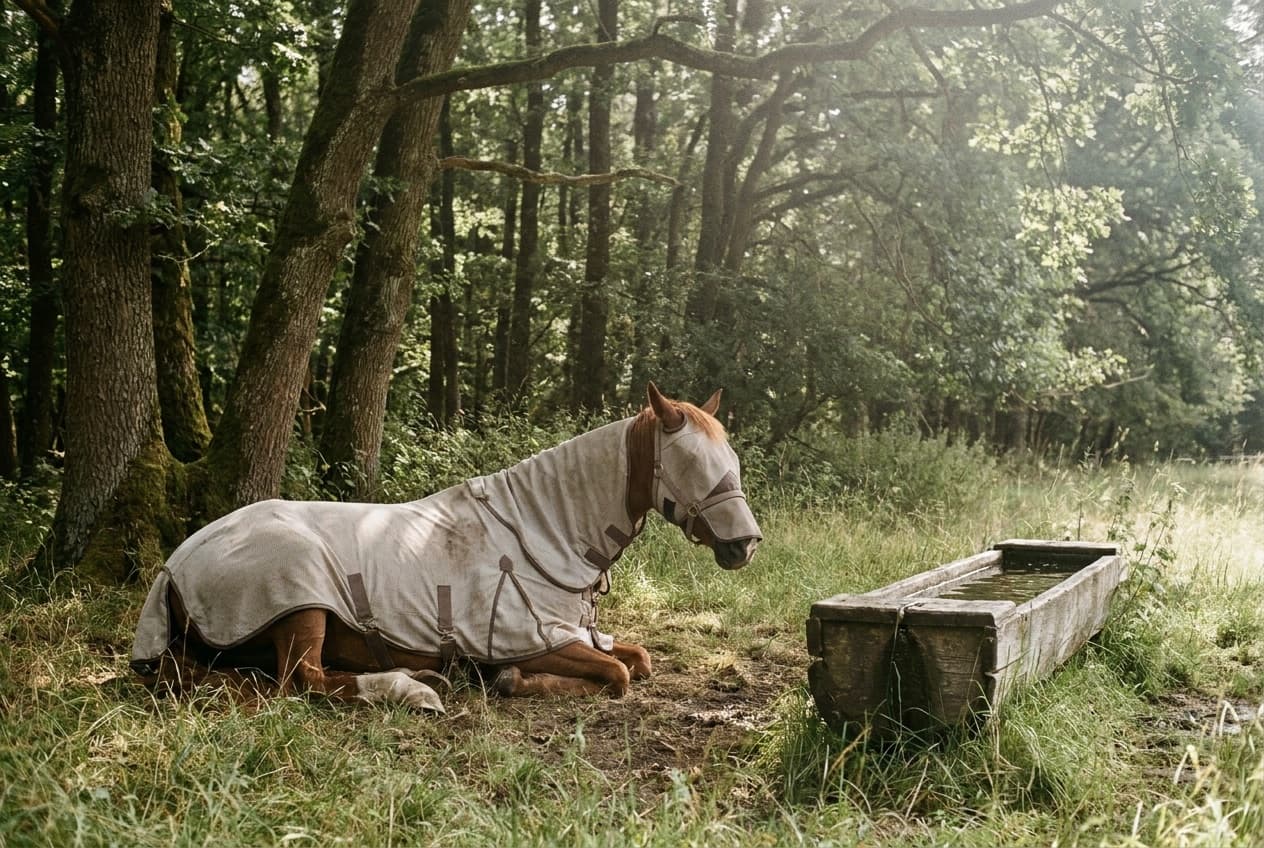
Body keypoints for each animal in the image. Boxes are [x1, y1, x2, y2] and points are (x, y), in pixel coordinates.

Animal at [131, 383, 762, 713]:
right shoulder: (540, 640)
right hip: (300, 597)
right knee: (302, 682)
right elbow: (617, 675)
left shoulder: (577, 634)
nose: (746, 545)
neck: (545, 531)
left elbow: (639, 659)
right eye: (691, 462)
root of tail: (175, 565)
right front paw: (508, 680)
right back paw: (411, 687)